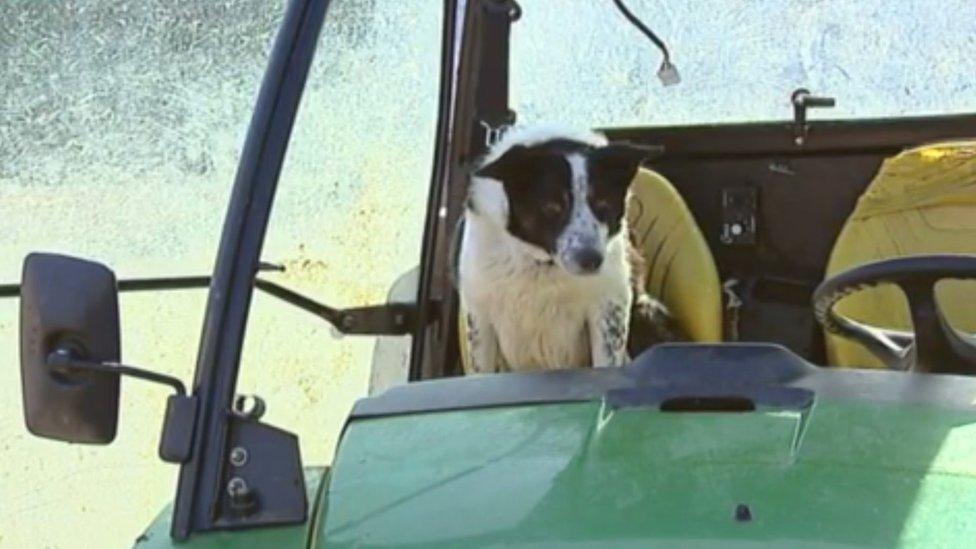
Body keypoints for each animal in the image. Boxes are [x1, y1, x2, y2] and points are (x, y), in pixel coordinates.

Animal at [460, 124, 684, 372]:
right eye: (552, 207)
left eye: (602, 204)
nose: (591, 260)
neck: (543, 265)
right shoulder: (480, 315)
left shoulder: (608, 309)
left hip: (644, 311)